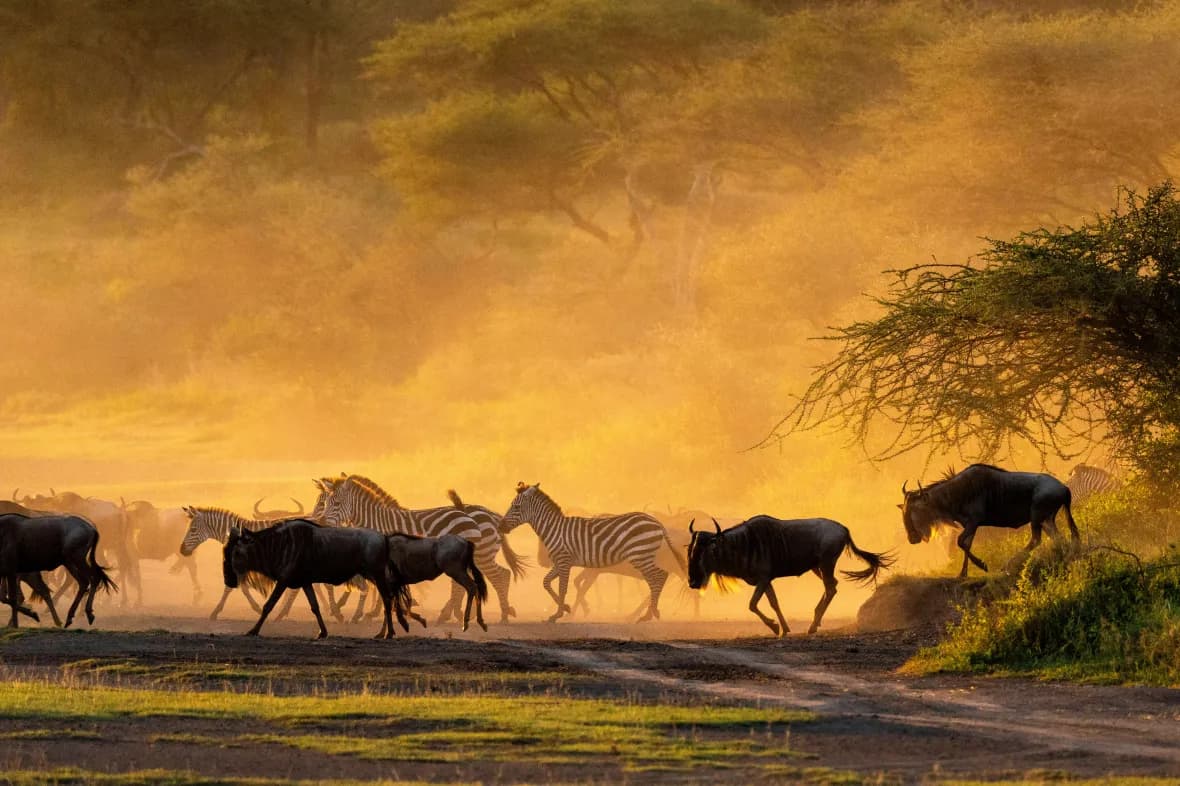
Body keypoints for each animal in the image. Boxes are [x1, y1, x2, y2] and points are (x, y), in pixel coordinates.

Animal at [314, 475, 511, 624]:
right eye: (326, 503)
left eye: (336, 503)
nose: (320, 521)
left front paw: (365, 614)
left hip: (477, 555)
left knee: (493, 577)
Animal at [500, 482, 686, 623]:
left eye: (516, 507)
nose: (501, 526)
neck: (556, 529)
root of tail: (656, 521)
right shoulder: (561, 563)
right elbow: (546, 582)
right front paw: (565, 608)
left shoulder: (564, 561)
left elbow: (563, 588)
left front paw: (558, 614)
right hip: (644, 557)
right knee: (657, 579)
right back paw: (649, 613)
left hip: (641, 555)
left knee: (659, 577)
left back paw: (649, 614)